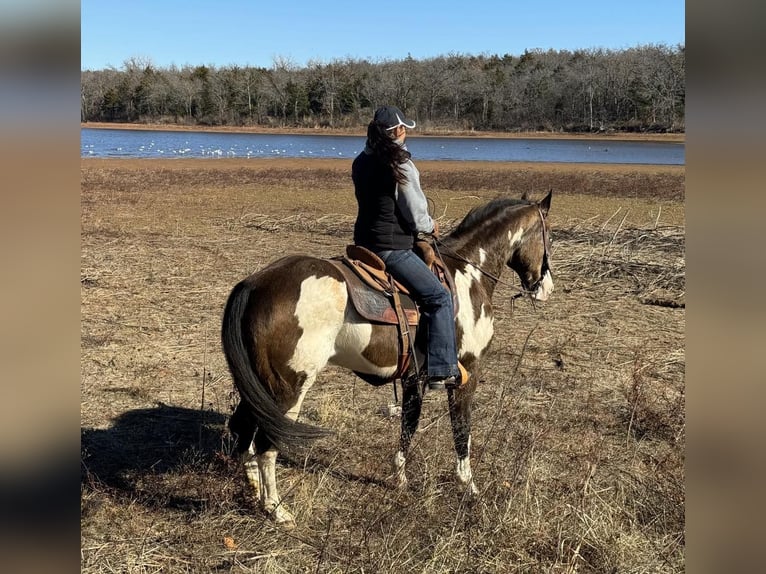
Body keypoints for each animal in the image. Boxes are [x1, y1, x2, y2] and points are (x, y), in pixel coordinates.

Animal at [219, 191, 556, 528]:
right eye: (549, 236)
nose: (547, 288)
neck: (467, 276)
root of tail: (254, 284)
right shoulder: (466, 373)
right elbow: (462, 430)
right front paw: (468, 485)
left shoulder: (414, 378)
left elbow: (409, 423)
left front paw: (399, 477)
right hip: (289, 387)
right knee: (267, 443)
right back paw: (276, 509)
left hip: (260, 385)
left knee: (245, 429)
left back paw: (254, 491)